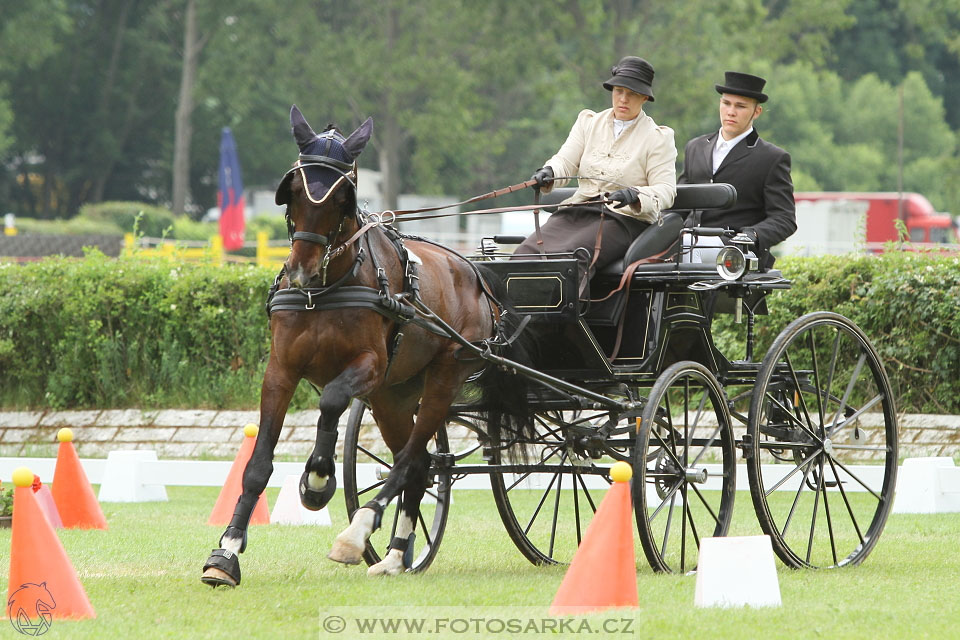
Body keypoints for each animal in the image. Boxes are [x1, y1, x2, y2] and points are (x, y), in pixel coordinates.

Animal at [202, 106, 532, 584]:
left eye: (342, 197)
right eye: (294, 191)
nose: (300, 270)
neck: (325, 288)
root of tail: (474, 271)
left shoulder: (370, 365)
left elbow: (331, 401)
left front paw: (318, 480)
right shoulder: (280, 370)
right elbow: (258, 462)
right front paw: (226, 552)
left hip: (444, 376)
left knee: (410, 459)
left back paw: (357, 534)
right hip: (393, 396)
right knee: (421, 465)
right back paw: (394, 555)